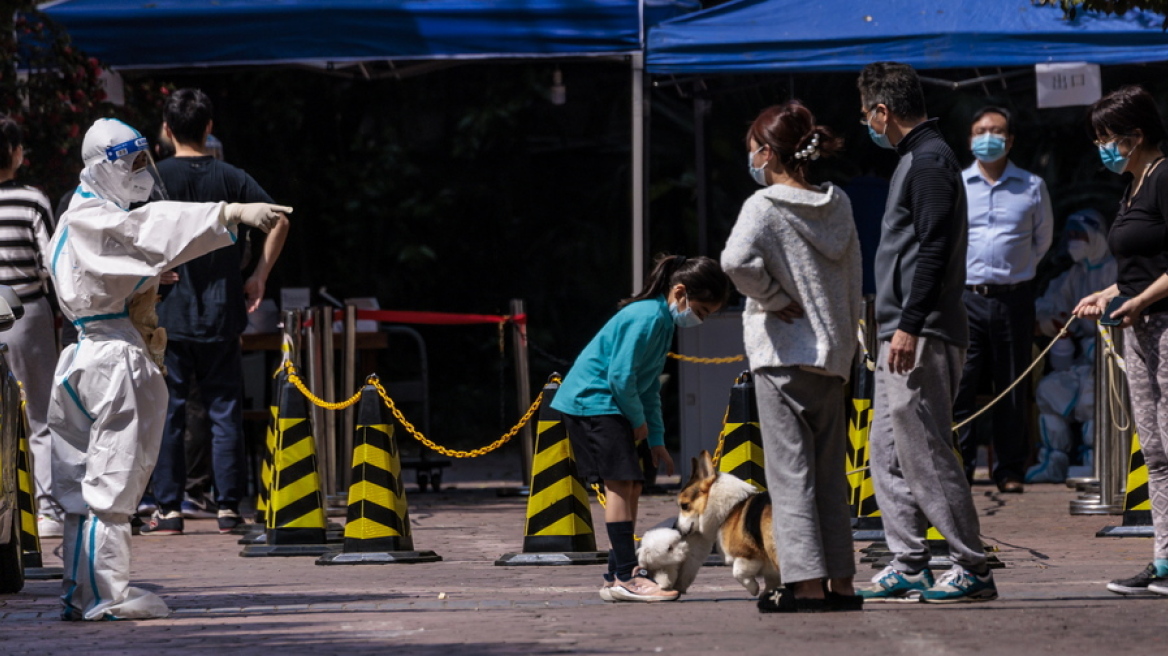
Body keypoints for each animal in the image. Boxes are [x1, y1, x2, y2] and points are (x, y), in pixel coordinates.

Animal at [677, 445, 784, 595]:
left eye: (684, 506)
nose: (676, 528)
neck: (730, 509)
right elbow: (771, 583)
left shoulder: (747, 556)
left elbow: (737, 572)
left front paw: (754, 589)